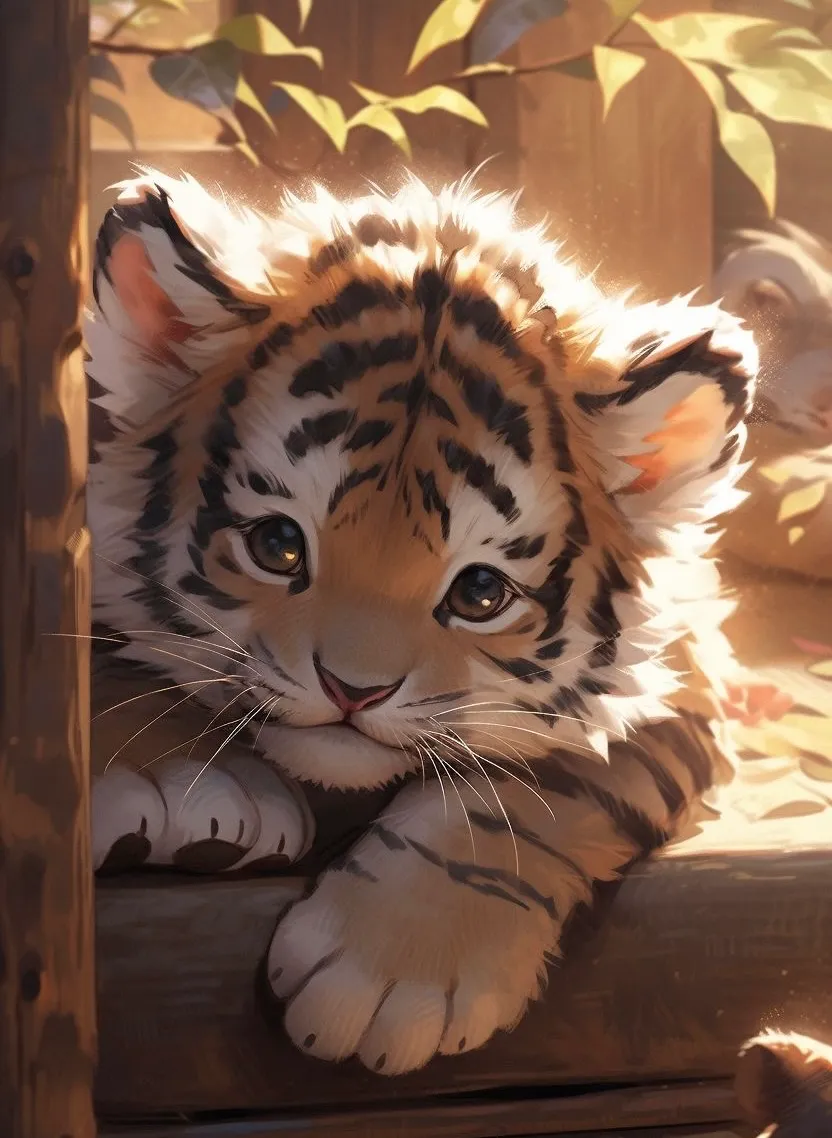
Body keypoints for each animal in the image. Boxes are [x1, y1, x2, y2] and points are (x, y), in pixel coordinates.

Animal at [86, 168, 758, 1076]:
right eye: (277, 545)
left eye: (479, 593)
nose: (352, 690)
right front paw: (170, 784)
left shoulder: (683, 675)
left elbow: (537, 787)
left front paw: (388, 975)